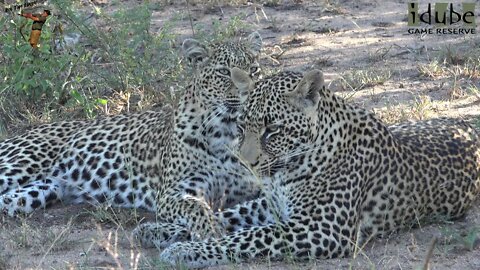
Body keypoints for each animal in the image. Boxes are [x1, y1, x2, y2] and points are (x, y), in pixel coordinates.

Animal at [158, 69, 480, 268]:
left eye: (272, 130)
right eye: (240, 126)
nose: (246, 163)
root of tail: (465, 123)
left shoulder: (321, 228)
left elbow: (247, 236)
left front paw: (185, 250)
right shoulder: (274, 204)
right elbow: (228, 216)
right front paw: (162, 231)